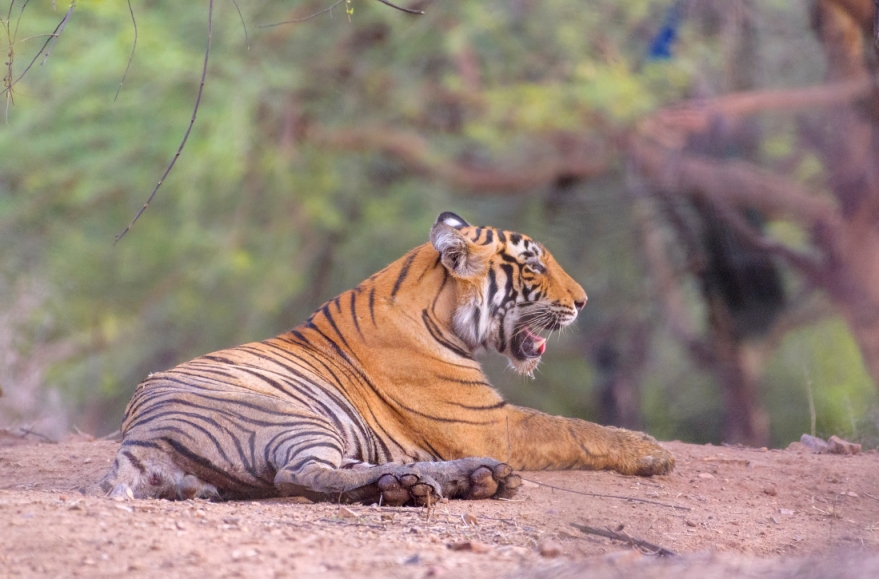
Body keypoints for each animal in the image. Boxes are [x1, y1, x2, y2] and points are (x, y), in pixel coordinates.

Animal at [101, 212, 674, 506]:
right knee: (300, 477)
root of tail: (136, 439)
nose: (583, 301)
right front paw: (653, 452)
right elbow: (576, 428)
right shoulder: (492, 424)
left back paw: (465, 479)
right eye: (533, 265)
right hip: (289, 418)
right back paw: (415, 487)